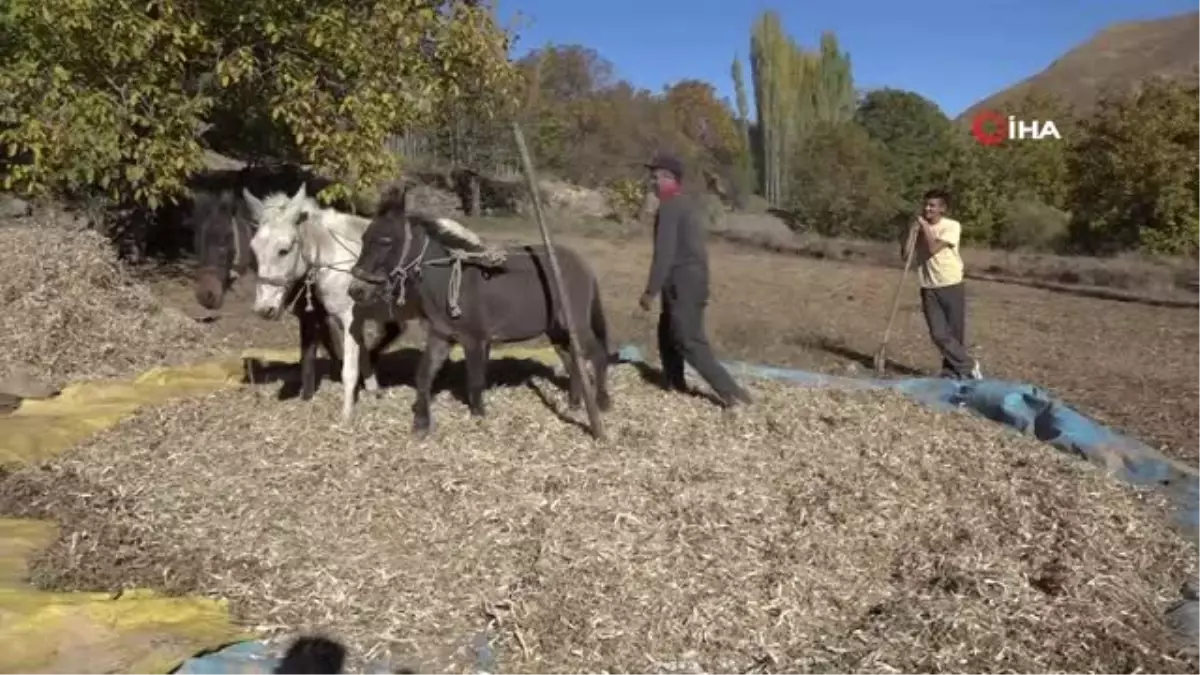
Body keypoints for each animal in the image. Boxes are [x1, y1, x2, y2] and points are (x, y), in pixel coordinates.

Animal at [241, 181, 415, 417]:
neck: (335, 259)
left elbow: (349, 368)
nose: (264, 309)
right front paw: (370, 388)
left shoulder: (349, 319)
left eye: (283, 250)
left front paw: (347, 414)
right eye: (254, 249)